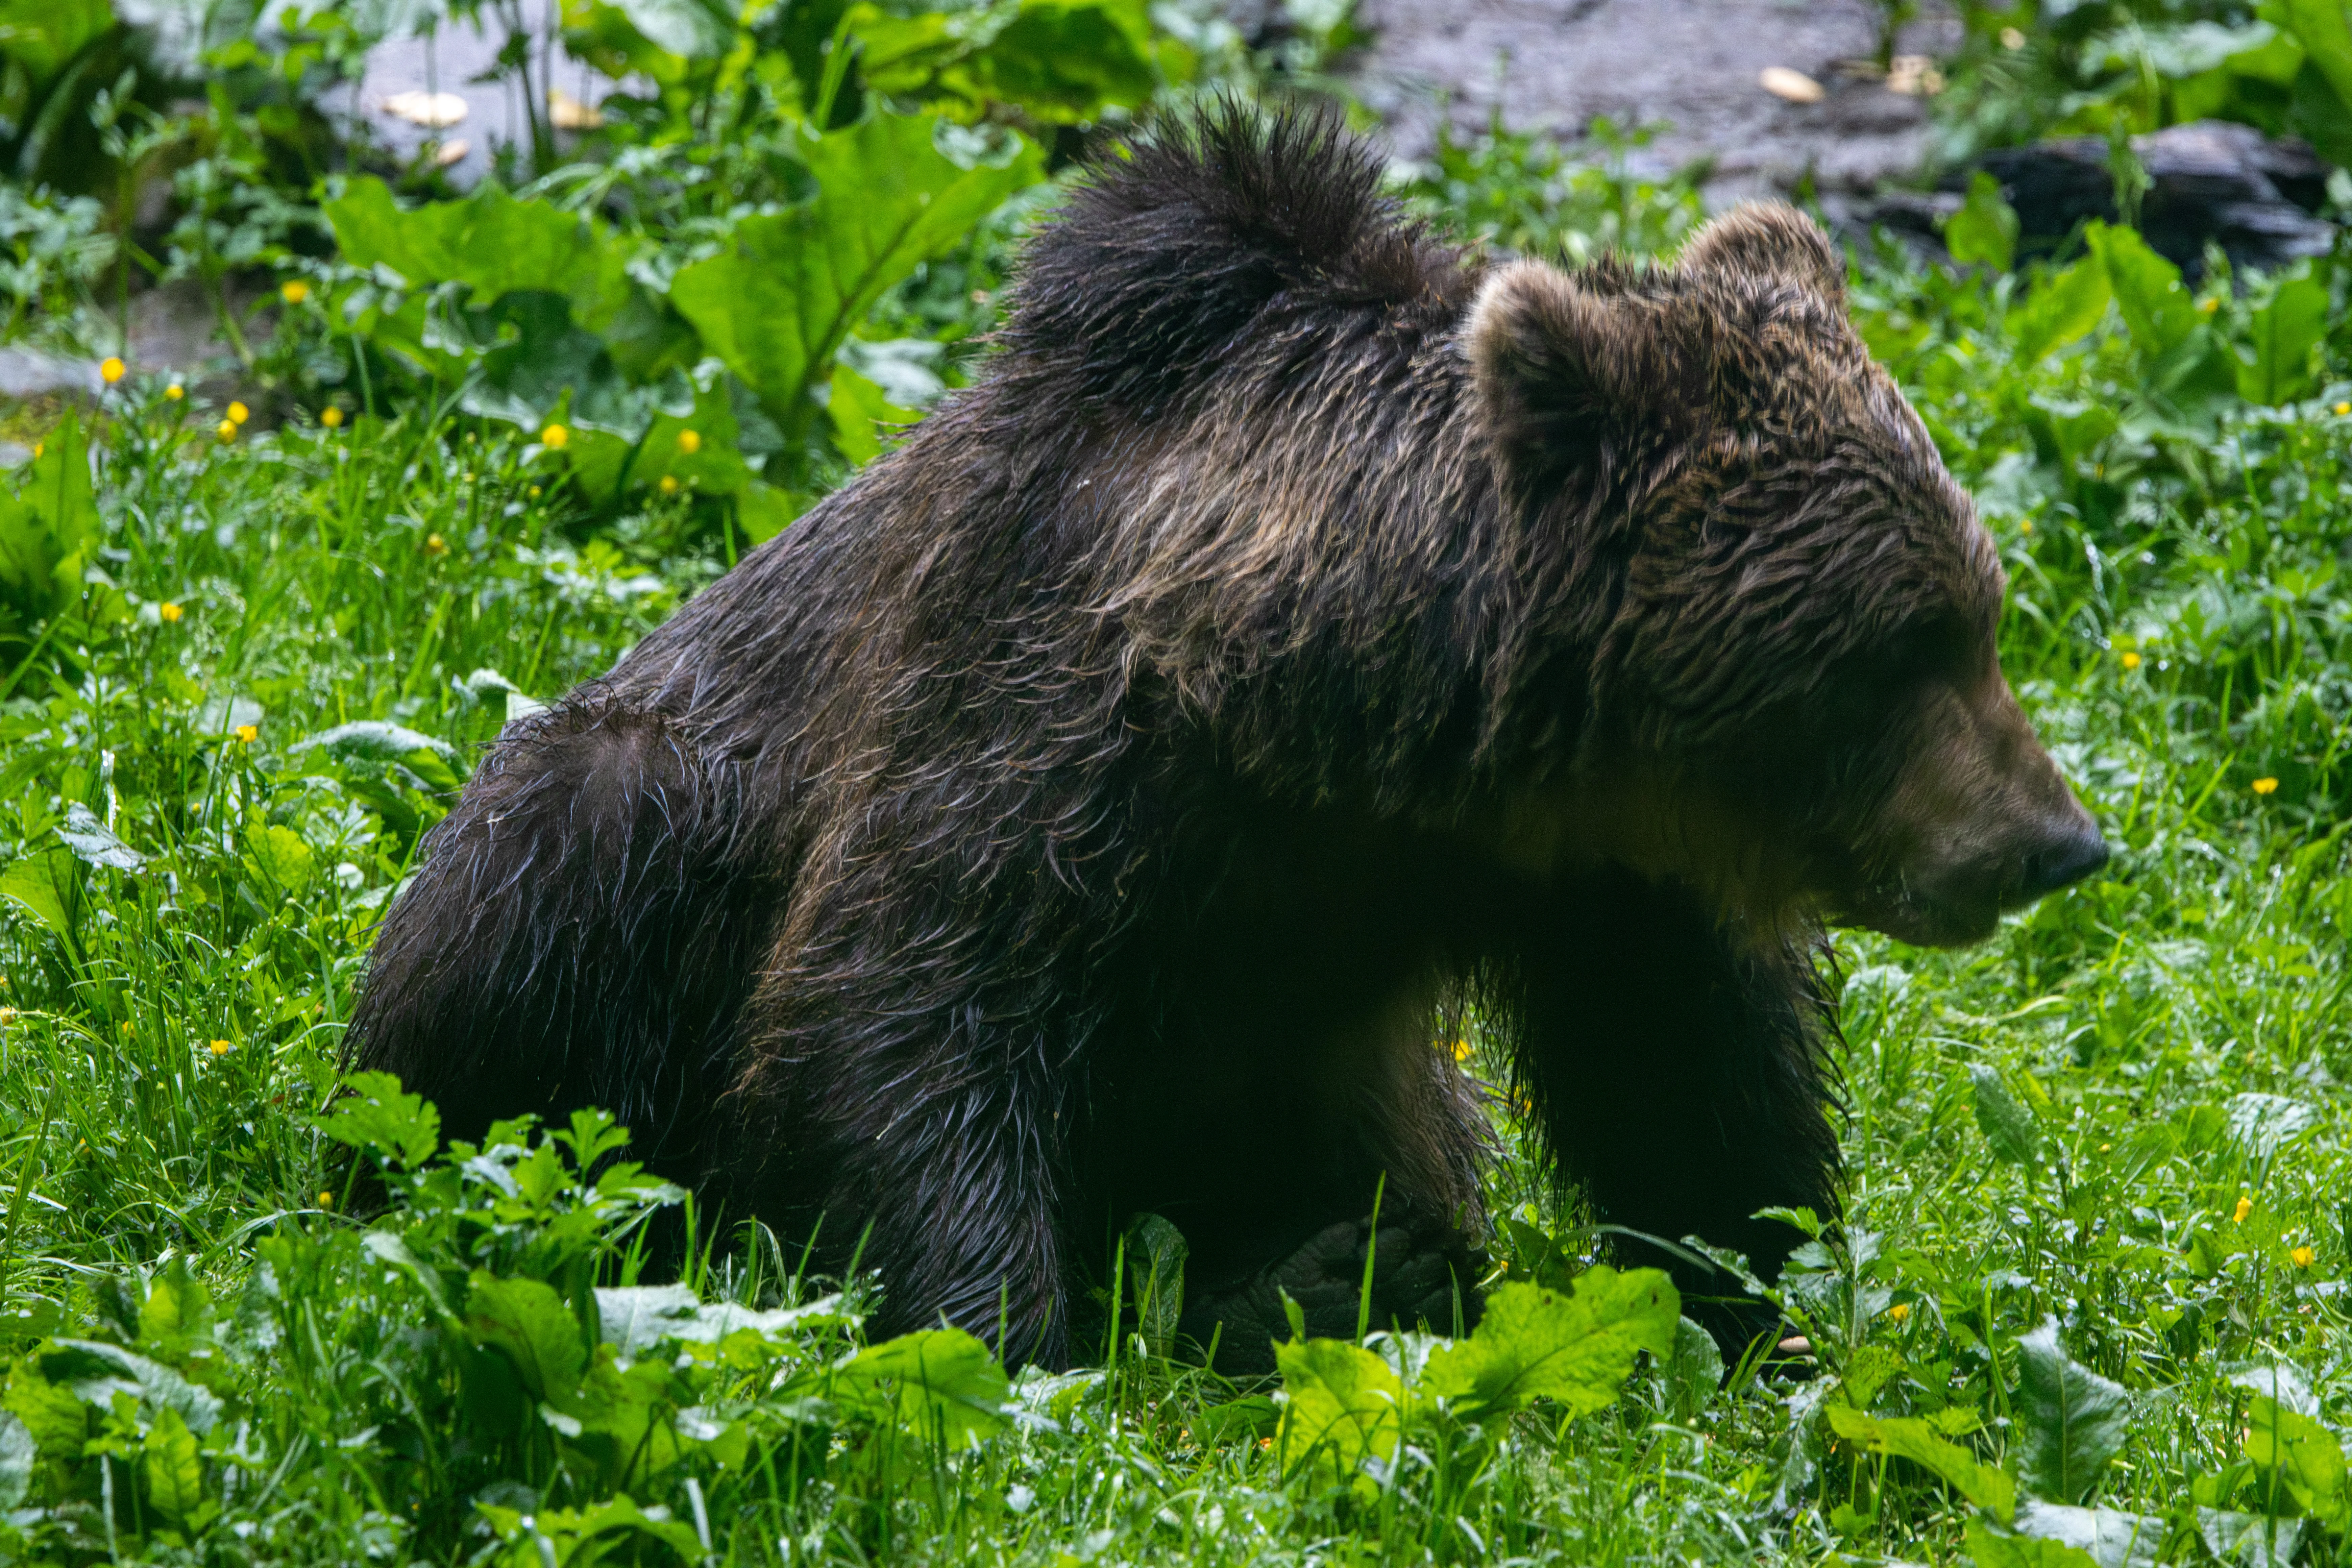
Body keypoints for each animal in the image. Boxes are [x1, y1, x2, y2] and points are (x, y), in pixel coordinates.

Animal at [346, 103, 2107, 1372]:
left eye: (1981, 610)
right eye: (1895, 645)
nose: (2058, 841)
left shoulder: (1585, 869)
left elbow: (1686, 1082)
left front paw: (1767, 1311)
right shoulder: (1041, 739)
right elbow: (898, 1005)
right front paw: (999, 1342)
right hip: (599, 832)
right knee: (549, 893)